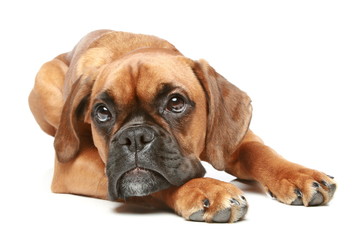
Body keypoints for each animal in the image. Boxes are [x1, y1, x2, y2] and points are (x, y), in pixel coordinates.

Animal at [29, 30, 336, 223]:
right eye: (102, 112)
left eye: (176, 102)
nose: (135, 137)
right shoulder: (72, 165)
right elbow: (161, 184)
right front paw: (205, 189)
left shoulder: (236, 141)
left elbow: (262, 153)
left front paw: (297, 174)